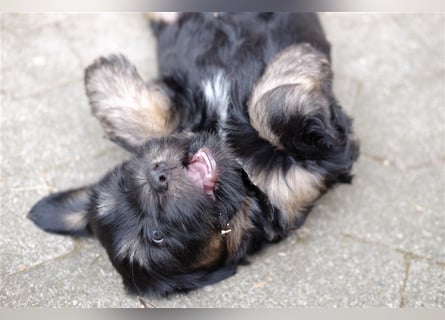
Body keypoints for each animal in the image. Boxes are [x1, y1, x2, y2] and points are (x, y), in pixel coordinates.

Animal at [27, 13, 358, 298]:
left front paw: (105, 74)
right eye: (157, 236)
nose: (156, 176)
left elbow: (153, 124)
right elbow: (273, 107)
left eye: (124, 183)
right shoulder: (315, 171)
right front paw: (300, 58)